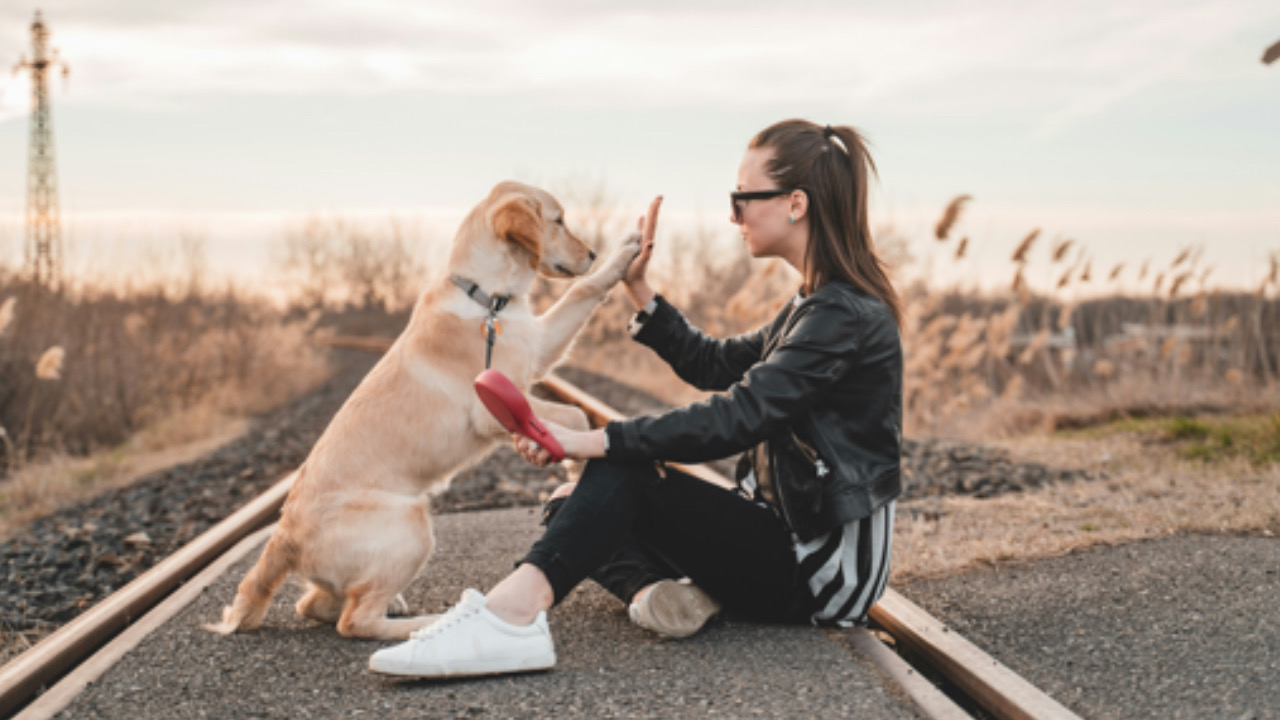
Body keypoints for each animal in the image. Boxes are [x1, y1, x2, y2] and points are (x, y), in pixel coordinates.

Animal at [211, 180, 645, 638]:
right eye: (558, 220)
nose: (593, 253)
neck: (487, 299)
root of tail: (283, 536)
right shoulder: (491, 406)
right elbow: (575, 415)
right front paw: (577, 467)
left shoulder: (539, 346)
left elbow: (583, 290)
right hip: (412, 522)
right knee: (354, 620)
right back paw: (432, 622)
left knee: (314, 605)